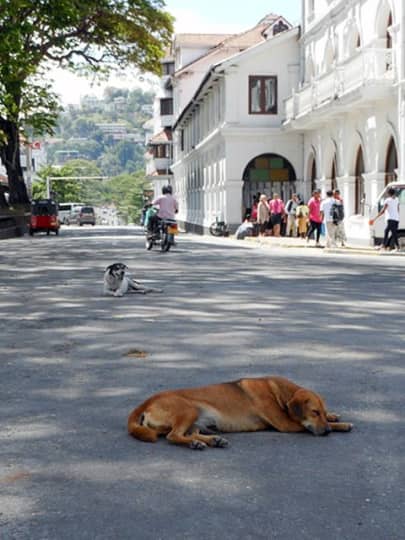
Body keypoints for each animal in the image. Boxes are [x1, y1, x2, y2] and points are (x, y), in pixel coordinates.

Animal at [127, 376, 350, 448]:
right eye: (314, 412)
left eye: (322, 411)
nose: (327, 432)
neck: (279, 392)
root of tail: (147, 401)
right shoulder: (287, 424)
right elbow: (303, 425)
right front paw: (340, 425)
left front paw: (334, 416)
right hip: (188, 410)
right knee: (173, 436)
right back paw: (195, 444)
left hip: (195, 421)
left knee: (188, 433)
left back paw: (212, 440)